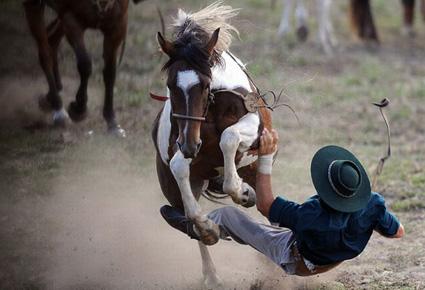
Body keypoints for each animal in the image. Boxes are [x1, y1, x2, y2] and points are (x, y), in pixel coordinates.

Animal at [24, 0, 145, 137]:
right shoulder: (71, 19)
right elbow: (85, 64)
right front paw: (78, 109)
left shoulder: (117, 25)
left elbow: (110, 72)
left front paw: (112, 123)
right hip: (36, 7)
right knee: (45, 55)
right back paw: (58, 108)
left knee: (52, 40)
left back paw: (50, 97)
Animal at [152, 2, 272, 288]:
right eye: (171, 84)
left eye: (205, 84)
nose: (188, 145)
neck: (214, 105)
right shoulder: (185, 146)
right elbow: (179, 169)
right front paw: (208, 227)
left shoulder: (252, 125)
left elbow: (229, 137)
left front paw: (240, 191)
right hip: (179, 187)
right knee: (183, 216)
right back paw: (211, 272)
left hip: (254, 166)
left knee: (266, 203)